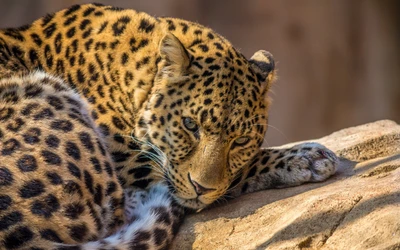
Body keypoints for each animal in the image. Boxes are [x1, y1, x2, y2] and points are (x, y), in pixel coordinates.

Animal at [0, 2, 338, 249]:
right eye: (190, 124)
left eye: (240, 141)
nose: (202, 189)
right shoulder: (137, 168)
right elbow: (235, 175)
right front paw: (307, 157)